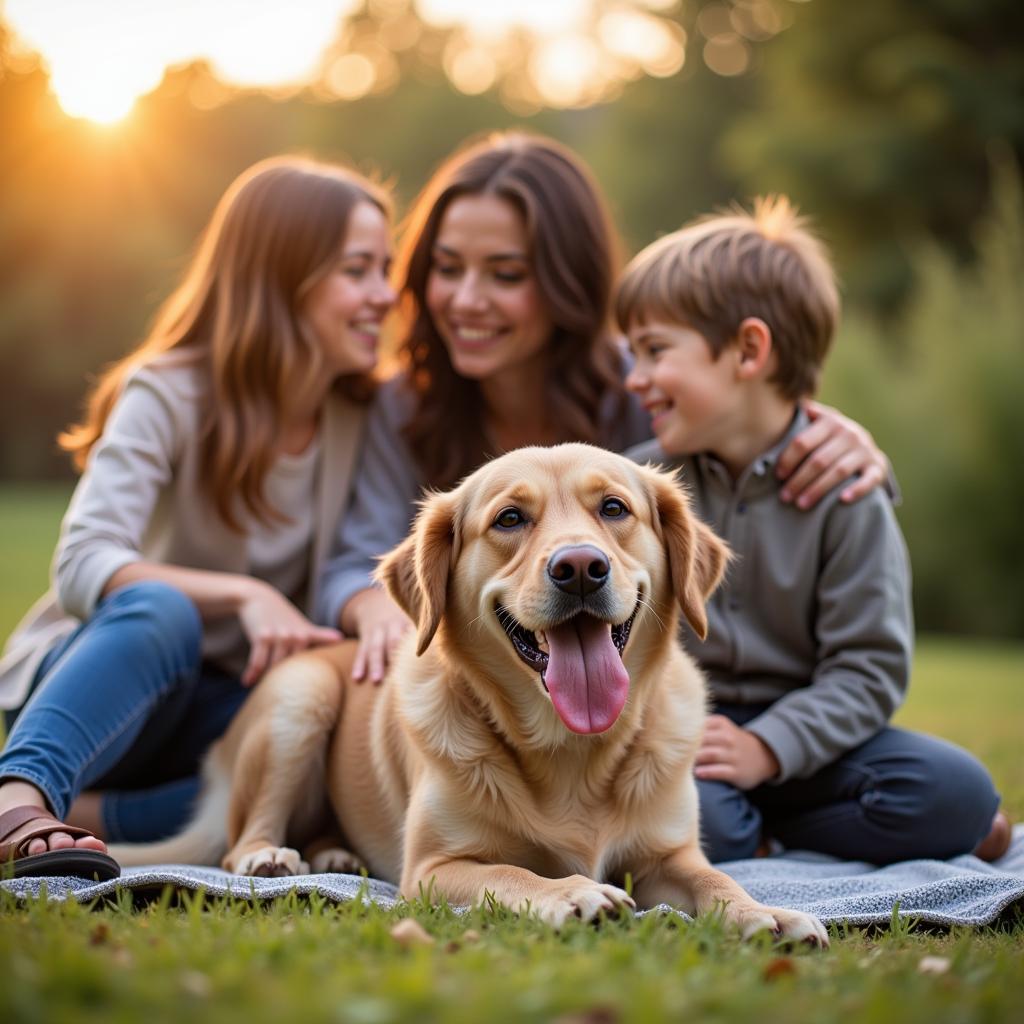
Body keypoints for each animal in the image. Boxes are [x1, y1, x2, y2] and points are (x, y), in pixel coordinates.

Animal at [114, 442, 823, 942]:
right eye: (510, 518)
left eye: (614, 509)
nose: (580, 567)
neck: (570, 749)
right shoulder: (433, 871)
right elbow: (514, 872)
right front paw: (573, 892)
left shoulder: (667, 855)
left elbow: (718, 879)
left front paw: (767, 914)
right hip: (301, 698)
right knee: (242, 838)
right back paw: (271, 858)